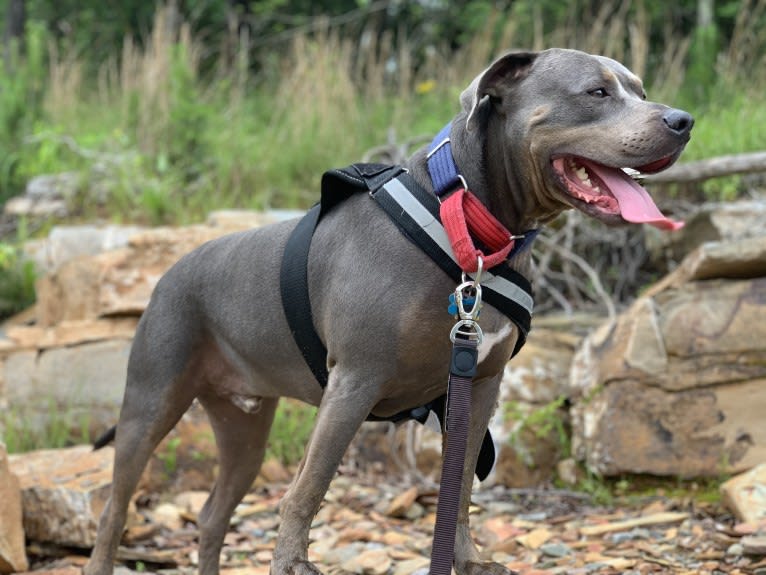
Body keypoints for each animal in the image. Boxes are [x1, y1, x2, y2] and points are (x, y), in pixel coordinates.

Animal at [84, 49, 696, 575]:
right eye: (596, 92)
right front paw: (292, 563)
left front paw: (467, 560)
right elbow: (308, 486)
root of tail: (168, 272)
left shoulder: (480, 386)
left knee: (213, 514)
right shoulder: (355, 380)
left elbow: (460, 487)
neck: (466, 223)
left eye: (641, 90)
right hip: (151, 403)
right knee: (115, 510)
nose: (683, 119)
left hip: (244, 427)